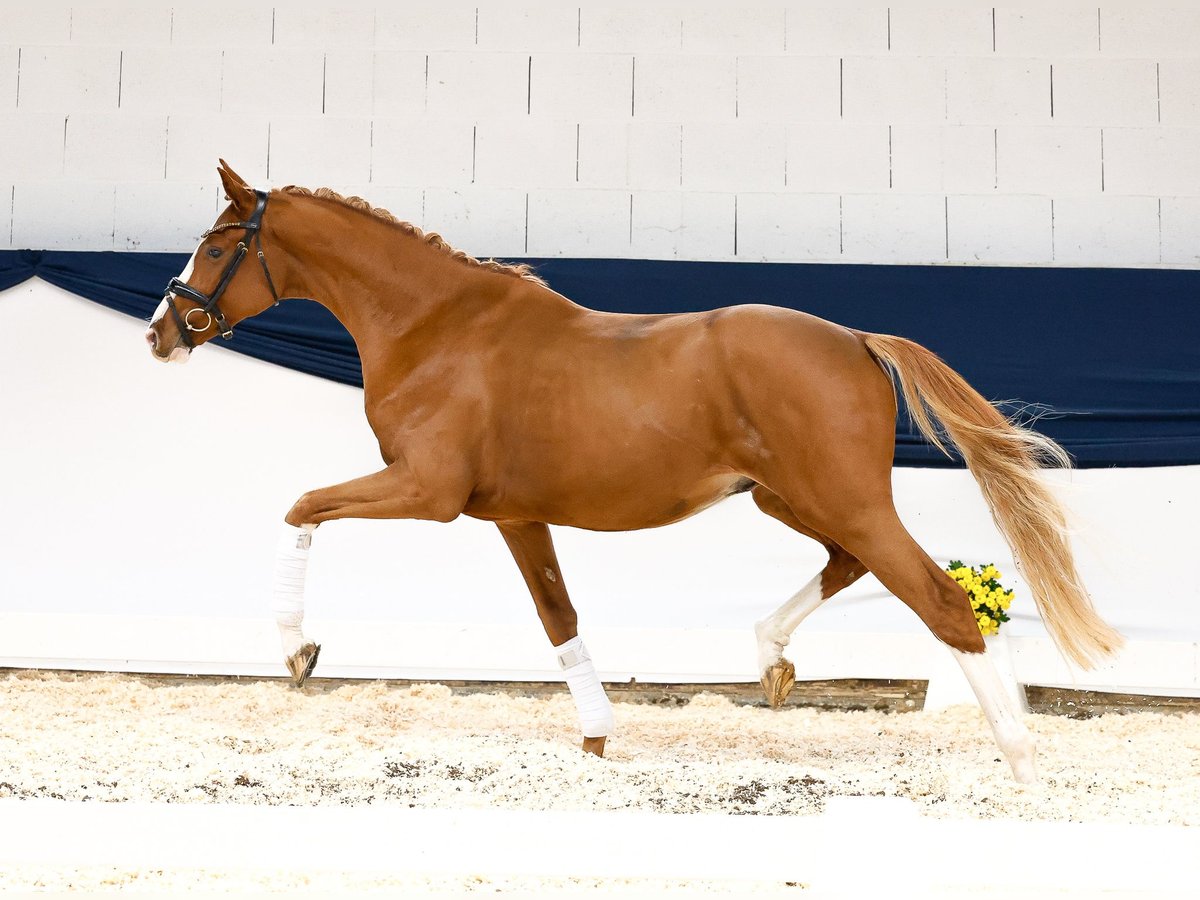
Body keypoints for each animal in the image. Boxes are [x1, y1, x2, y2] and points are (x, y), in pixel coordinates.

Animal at [145, 162, 1118, 782]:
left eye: (217, 244)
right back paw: (770, 661)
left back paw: (1021, 759)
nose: (160, 332)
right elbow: (560, 619)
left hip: (839, 499)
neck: (436, 328)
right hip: (789, 499)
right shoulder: (513, 515)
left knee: (942, 600)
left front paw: (297, 651)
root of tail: (854, 339)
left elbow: (300, 505)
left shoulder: (429, 494)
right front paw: (598, 739)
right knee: (849, 567)